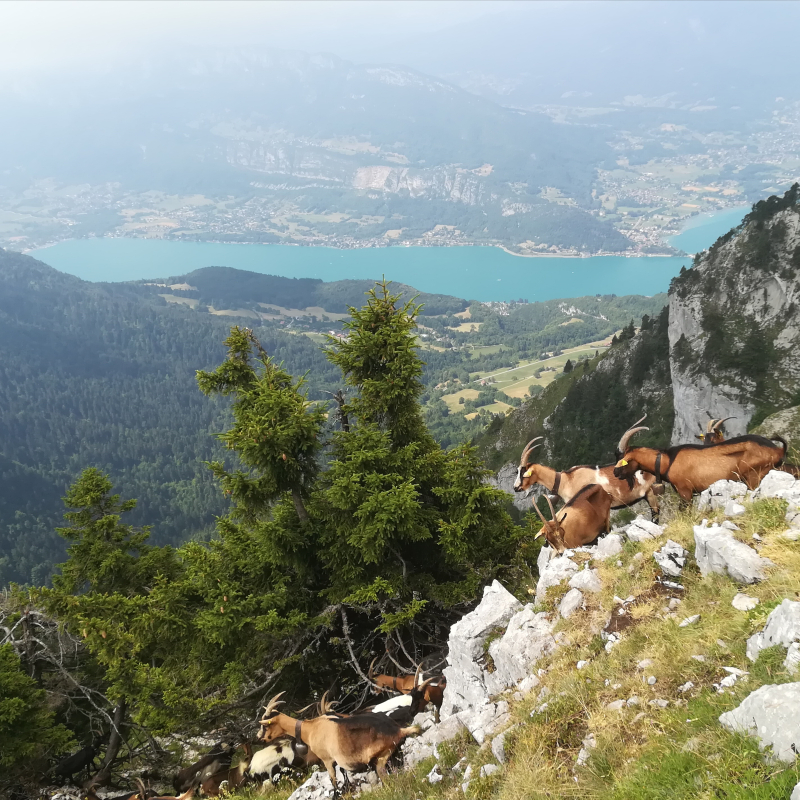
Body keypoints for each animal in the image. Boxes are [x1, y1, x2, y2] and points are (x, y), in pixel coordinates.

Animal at [260, 692, 422, 796]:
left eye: (266, 725)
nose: (260, 738)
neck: (310, 728)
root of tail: (398, 730)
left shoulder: (327, 759)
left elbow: (333, 779)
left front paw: (338, 794)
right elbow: (343, 774)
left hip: (382, 757)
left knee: (386, 776)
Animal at [612, 418, 788, 500]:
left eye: (623, 458)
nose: (614, 472)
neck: (667, 460)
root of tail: (778, 449)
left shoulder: (685, 492)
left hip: (754, 476)